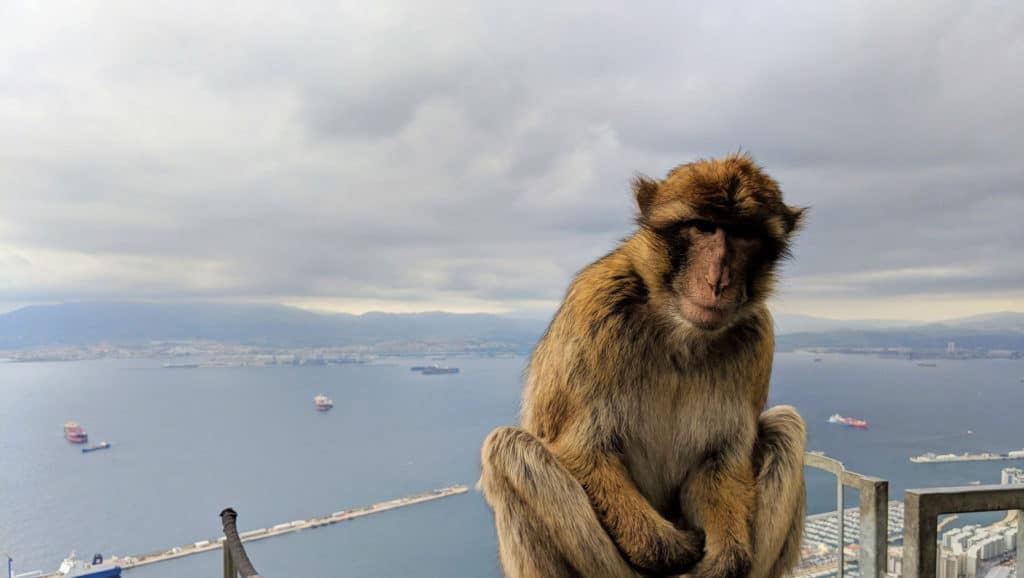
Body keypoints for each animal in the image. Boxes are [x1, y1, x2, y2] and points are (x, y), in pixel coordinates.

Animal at [479, 153, 806, 578]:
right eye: (703, 227)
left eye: (744, 235)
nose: (718, 280)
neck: (680, 332)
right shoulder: (598, 309)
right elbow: (584, 451)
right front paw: (670, 549)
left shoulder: (756, 338)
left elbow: (719, 462)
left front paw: (726, 559)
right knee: (508, 448)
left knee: (786, 427)